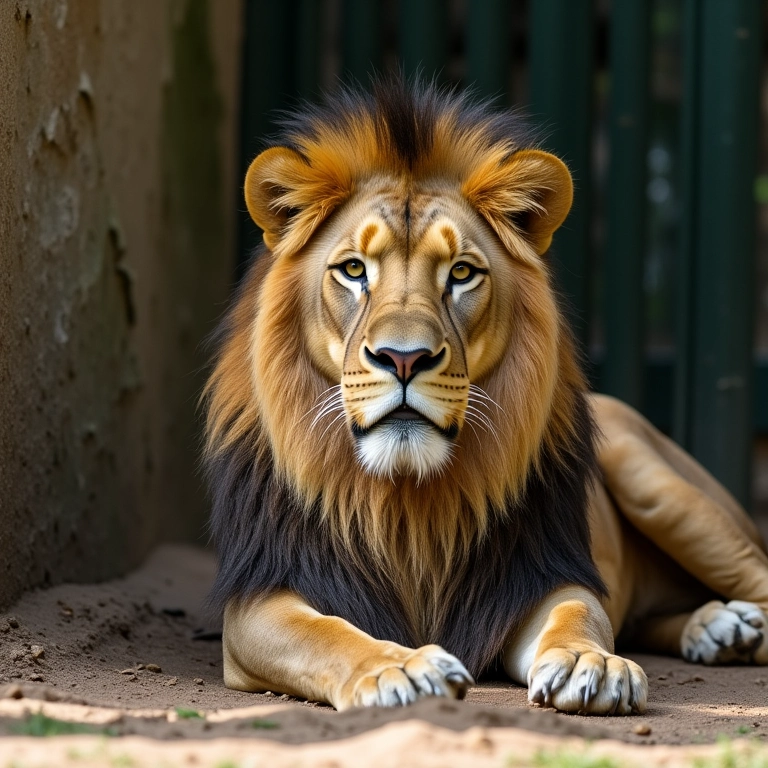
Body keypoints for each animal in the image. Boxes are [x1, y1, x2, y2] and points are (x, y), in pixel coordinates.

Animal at [202, 77, 768, 715]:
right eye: (352, 270)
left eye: (462, 273)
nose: (404, 358)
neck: (407, 502)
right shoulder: (258, 599)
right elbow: (326, 634)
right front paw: (399, 668)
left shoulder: (538, 576)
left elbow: (578, 615)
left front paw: (590, 662)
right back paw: (717, 628)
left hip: (656, 480)